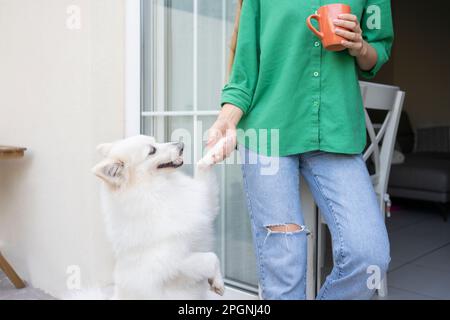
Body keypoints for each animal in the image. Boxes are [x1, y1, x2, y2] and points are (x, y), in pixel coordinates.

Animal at [92, 134, 225, 298]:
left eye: (155, 141)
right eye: (152, 151)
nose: (181, 145)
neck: (155, 191)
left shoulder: (203, 202)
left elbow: (202, 167)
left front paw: (217, 148)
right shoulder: (175, 264)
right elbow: (212, 257)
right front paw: (218, 283)